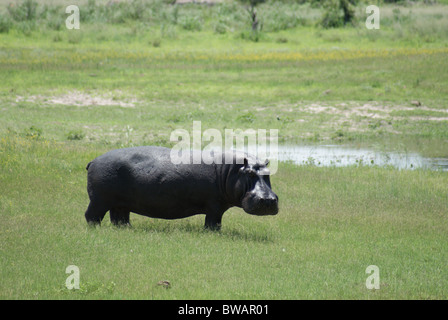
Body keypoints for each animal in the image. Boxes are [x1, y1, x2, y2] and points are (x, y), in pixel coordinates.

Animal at [84, 145, 278, 230]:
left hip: (120, 204)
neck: (233, 170)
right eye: (250, 173)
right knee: (91, 216)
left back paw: (126, 229)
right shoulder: (214, 206)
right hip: (99, 201)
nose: (268, 199)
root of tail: (93, 160)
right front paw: (212, 233)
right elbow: (213, 223)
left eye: (268, 173)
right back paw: (95, 229)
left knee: (119, 219)